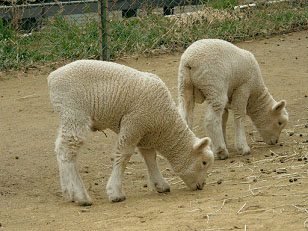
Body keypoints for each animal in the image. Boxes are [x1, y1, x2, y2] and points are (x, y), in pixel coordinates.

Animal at [47, 59, 214, 206]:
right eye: (204, 162)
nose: (201, 185)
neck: (165, 122)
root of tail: (52, 78)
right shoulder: (134, 123)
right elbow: (124, 154)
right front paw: (115, 192)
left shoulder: (146, 132)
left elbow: (150, 157)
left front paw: (160, 184)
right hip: (75, 113)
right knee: (68, 151)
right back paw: (81, 196)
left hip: (67, 116)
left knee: (60, 149)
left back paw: (69, 192)